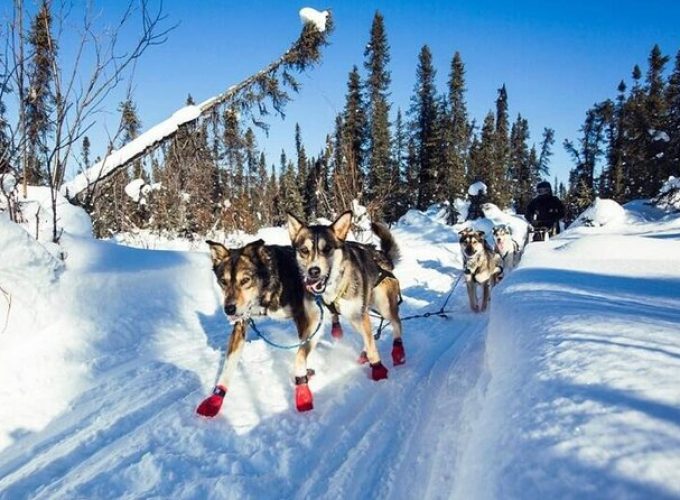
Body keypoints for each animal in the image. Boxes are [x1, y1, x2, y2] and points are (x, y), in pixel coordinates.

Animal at [197, 238, 324, 414]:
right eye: (224, 281)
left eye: (245, 280)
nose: (229, 309)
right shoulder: (241, 323)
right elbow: (228, 364)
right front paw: (216, 398)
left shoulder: (306, 318)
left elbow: (300, 355)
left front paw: (302, 391)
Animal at [286, 209, 404, 380]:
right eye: (304, 250)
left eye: (327, 249)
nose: (313, 271)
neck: (330, 290)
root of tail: (382, 257)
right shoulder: (314, 323)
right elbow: (300, 355)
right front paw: (301, 380)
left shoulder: (359, 316)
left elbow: (372, 348)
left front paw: (378, 369)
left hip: (383, 307)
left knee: (396, 324)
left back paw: (398, 351)